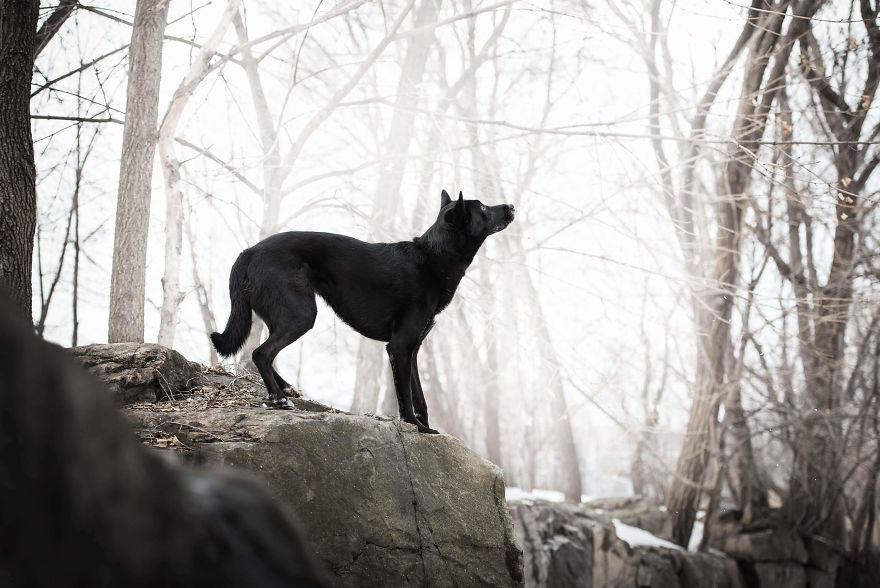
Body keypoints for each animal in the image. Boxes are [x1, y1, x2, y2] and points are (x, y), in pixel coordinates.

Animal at [211, 191, 516, 434]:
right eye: (483, 208)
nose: (512, 205)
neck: (433, 257)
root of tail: (249, 251)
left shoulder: (413, 349)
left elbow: (420, 397)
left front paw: (427, 427)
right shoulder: (399, 347)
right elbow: (405, 397)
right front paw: (416, 428)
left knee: (264, 353)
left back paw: (286, 388)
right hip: (301, 315)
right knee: (260, 353)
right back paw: (278, 396)